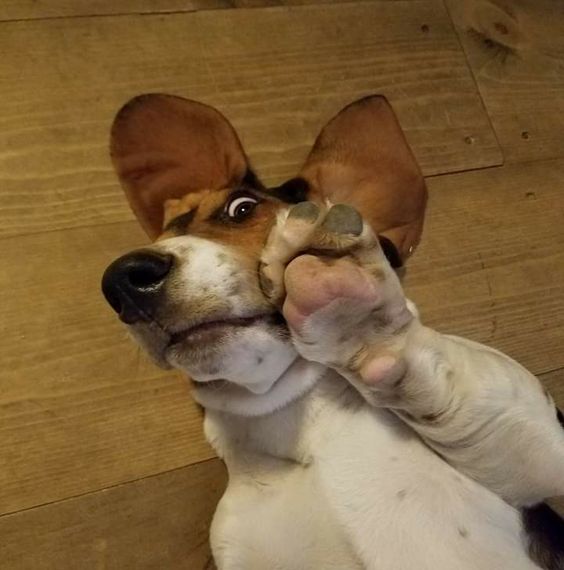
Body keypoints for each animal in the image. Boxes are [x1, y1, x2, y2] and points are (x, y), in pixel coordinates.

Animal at [102, 94, 564, 568]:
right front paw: (350, 318)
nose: (123, 281)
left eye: (241, 208)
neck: (307, 429)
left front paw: (360, 321)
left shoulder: (541, 461)